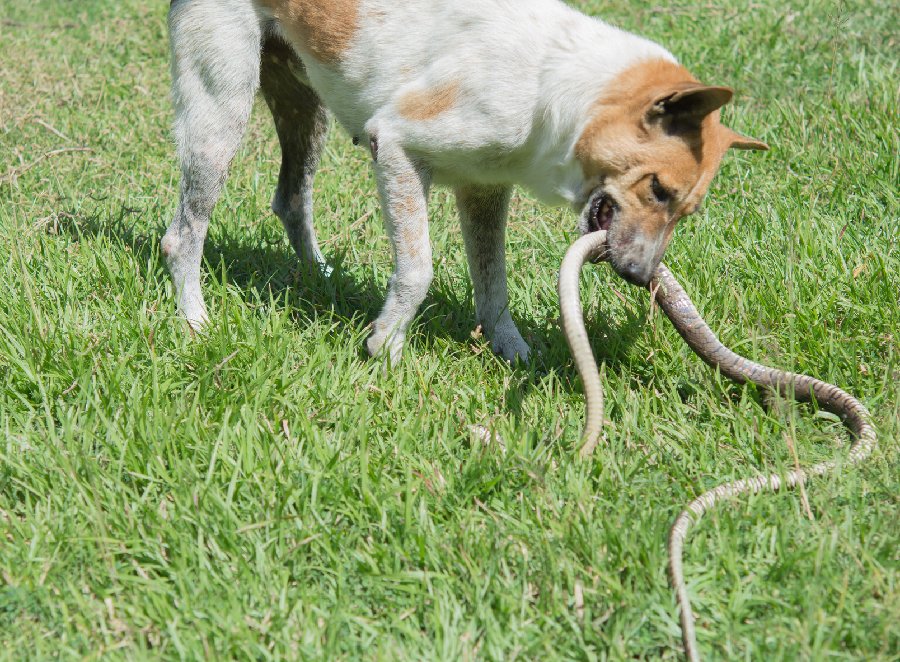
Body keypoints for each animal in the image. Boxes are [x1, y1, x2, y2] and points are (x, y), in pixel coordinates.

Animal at [163, 0, 768, 364]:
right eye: (658, 190)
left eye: (684, 212)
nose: (641, 277)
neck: (556, 86)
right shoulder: (397, 148)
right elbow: (418, 271)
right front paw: (384, 349)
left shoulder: (484, 190)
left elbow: (493, 286)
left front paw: (516, 354)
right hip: (221, 108)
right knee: (183, 233)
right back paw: (194, 321)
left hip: (303, 105)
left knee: (290, 198)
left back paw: (318, 275)